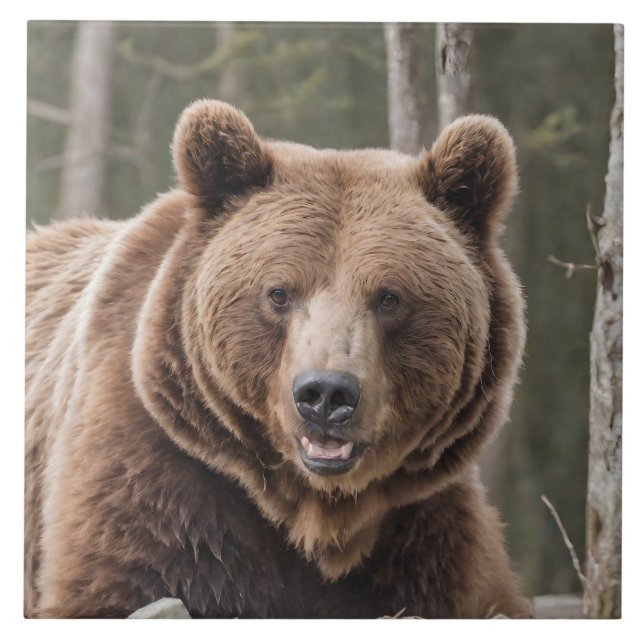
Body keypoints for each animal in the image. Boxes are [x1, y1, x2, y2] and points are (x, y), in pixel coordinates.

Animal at [25, 99, 533, 618]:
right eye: (279, 292)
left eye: (390, 296)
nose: (326, 393)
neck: (316, 513)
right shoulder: (156, 479)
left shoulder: (426, 532)